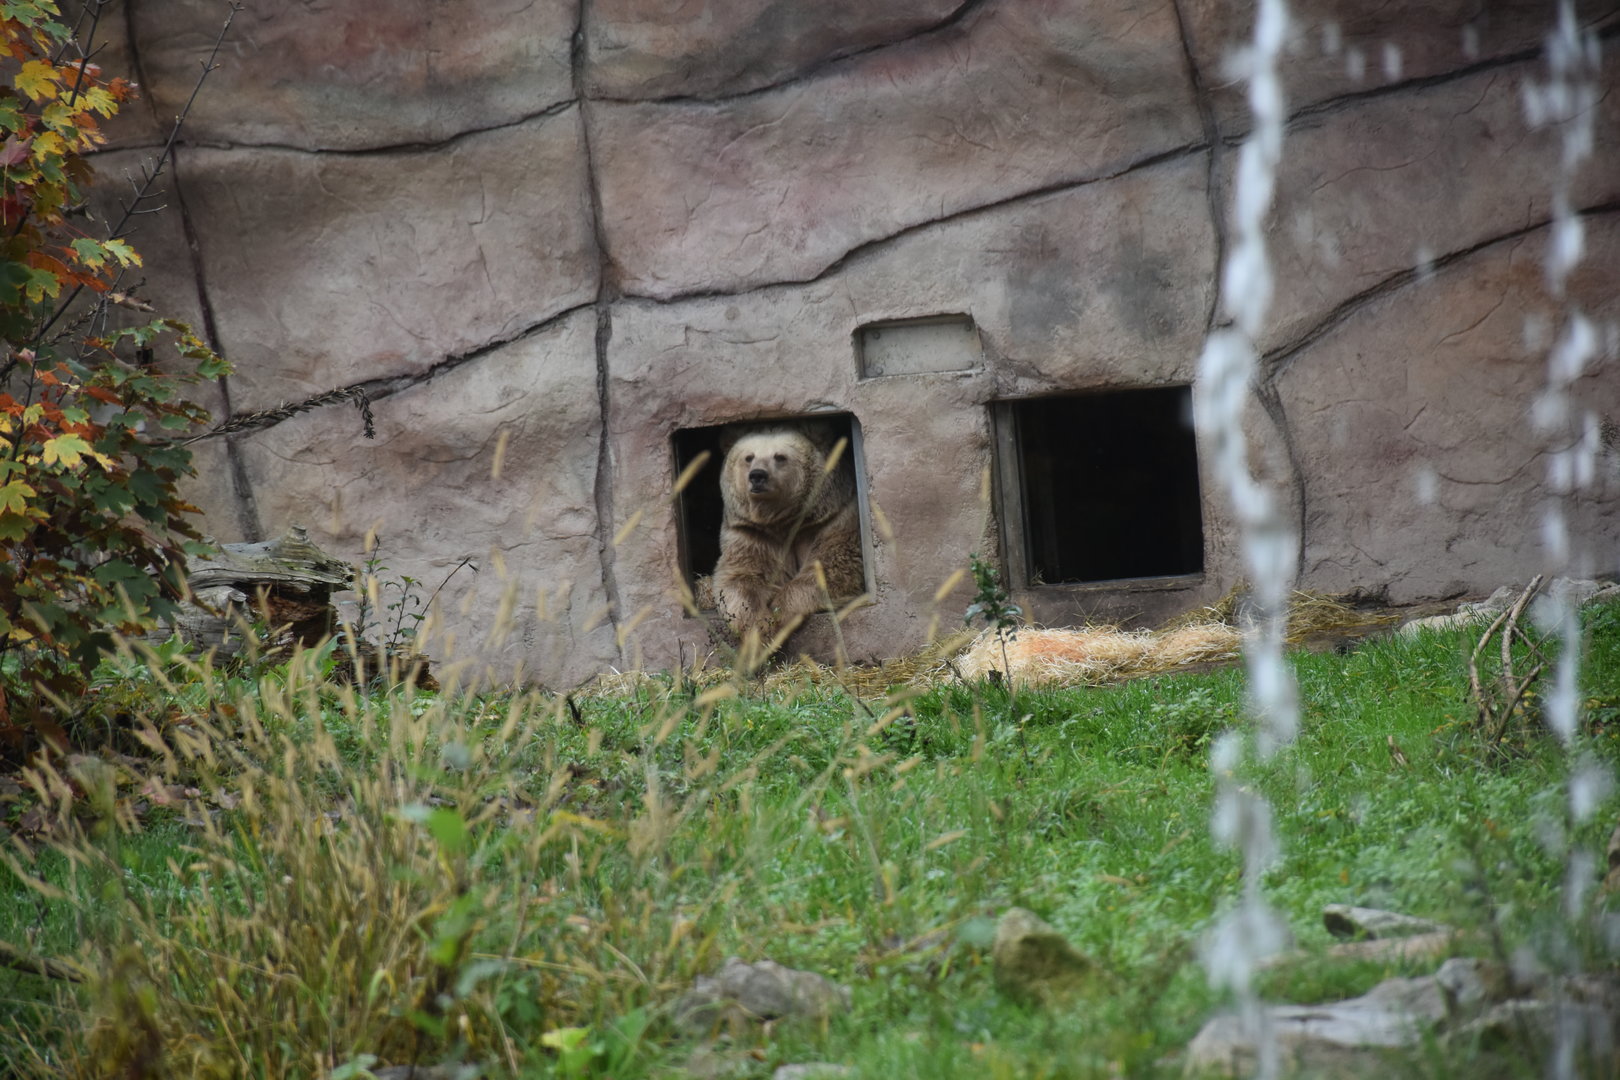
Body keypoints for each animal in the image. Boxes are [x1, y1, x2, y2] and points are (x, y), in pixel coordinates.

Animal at [712, 424, 865, 645]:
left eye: (780, 456)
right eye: (749, 457)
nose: (757, 475)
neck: (782, 522)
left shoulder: (834, 519)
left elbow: (830, 568)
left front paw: (780, 612)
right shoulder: (751, 534)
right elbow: (739, 579)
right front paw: (761, 632)